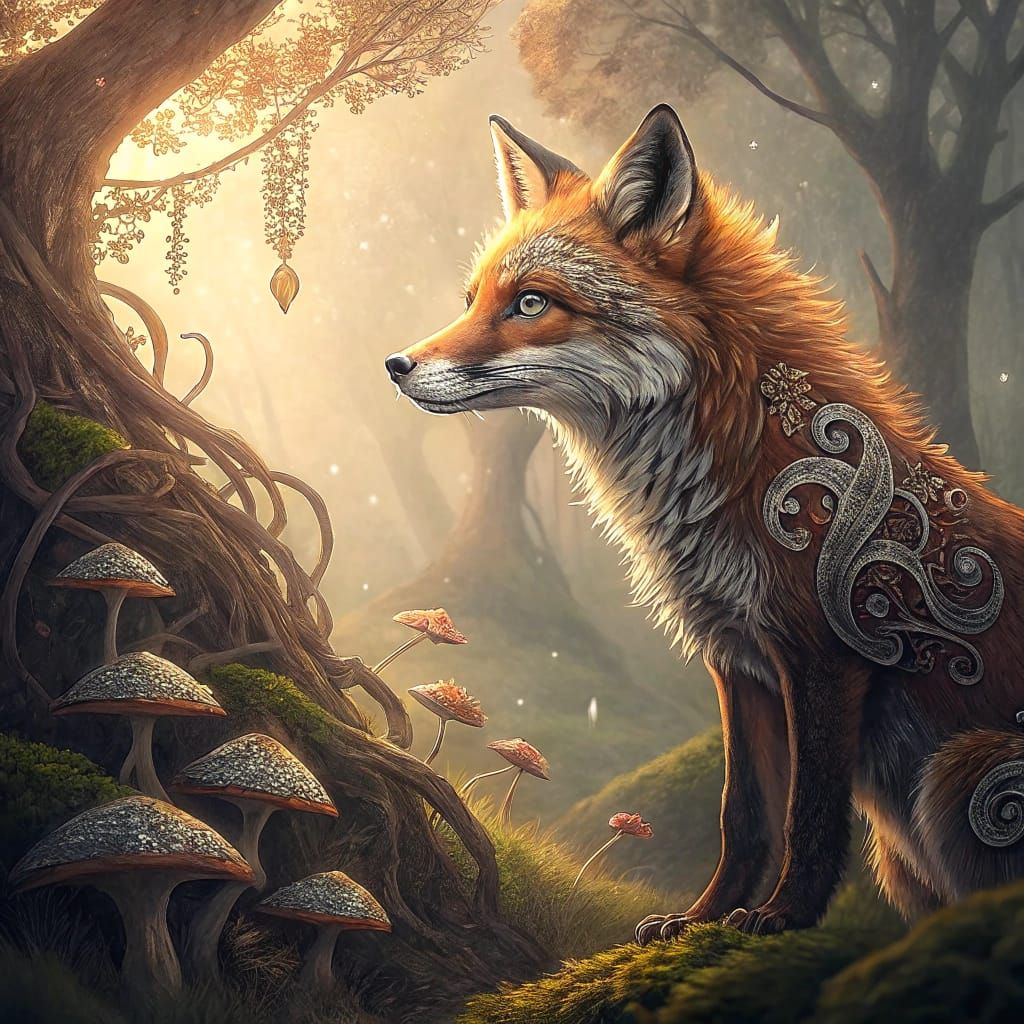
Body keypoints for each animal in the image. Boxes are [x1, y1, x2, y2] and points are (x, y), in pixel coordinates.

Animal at [385, 105, 1024, 942]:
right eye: (472, 299)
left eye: (530, 302)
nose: (396, 365)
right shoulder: (737, 661)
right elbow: (744, 815)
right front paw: (702, 918)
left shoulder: (828, 653)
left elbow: (809, 815)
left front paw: (784, 914)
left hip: (959, 773)